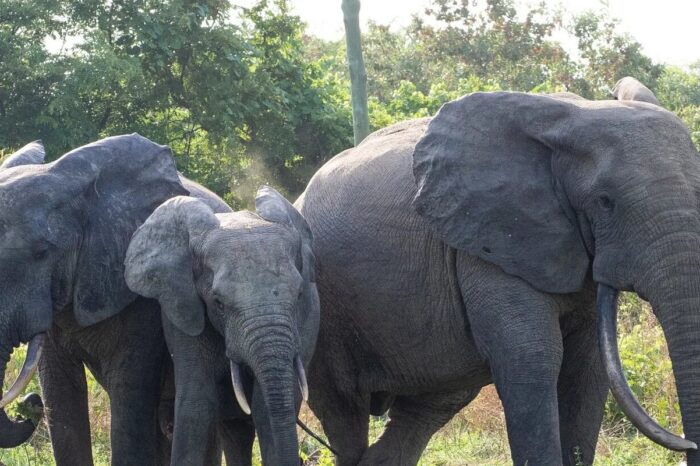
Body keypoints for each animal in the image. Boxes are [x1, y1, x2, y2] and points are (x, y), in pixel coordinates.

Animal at [295, 81, 700, 465]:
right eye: (605, 202)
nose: (688, 443)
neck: (575, 116)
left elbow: (586, 369)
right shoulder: (485, 242)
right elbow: (532, 357)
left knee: (428, 408)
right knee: (344, 413)